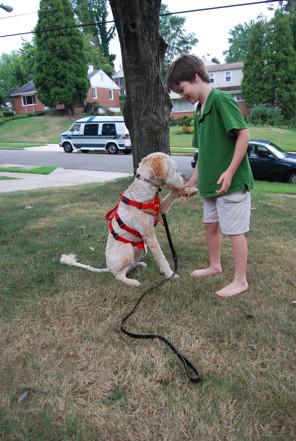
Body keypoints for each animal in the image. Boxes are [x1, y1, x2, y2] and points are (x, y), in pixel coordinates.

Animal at [60, 151, 197, 288]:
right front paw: (170, 274)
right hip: (128, 250)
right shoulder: (149, 236)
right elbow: (161, 257)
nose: (183, 177)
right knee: (118, 275)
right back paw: (132, 282)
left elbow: (173, 194)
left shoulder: (160, 210)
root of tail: (108, 267)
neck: (144, 187)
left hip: (141, 249)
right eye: (174, 169)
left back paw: (139, 264)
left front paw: (189, 190)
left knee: (129, 266)